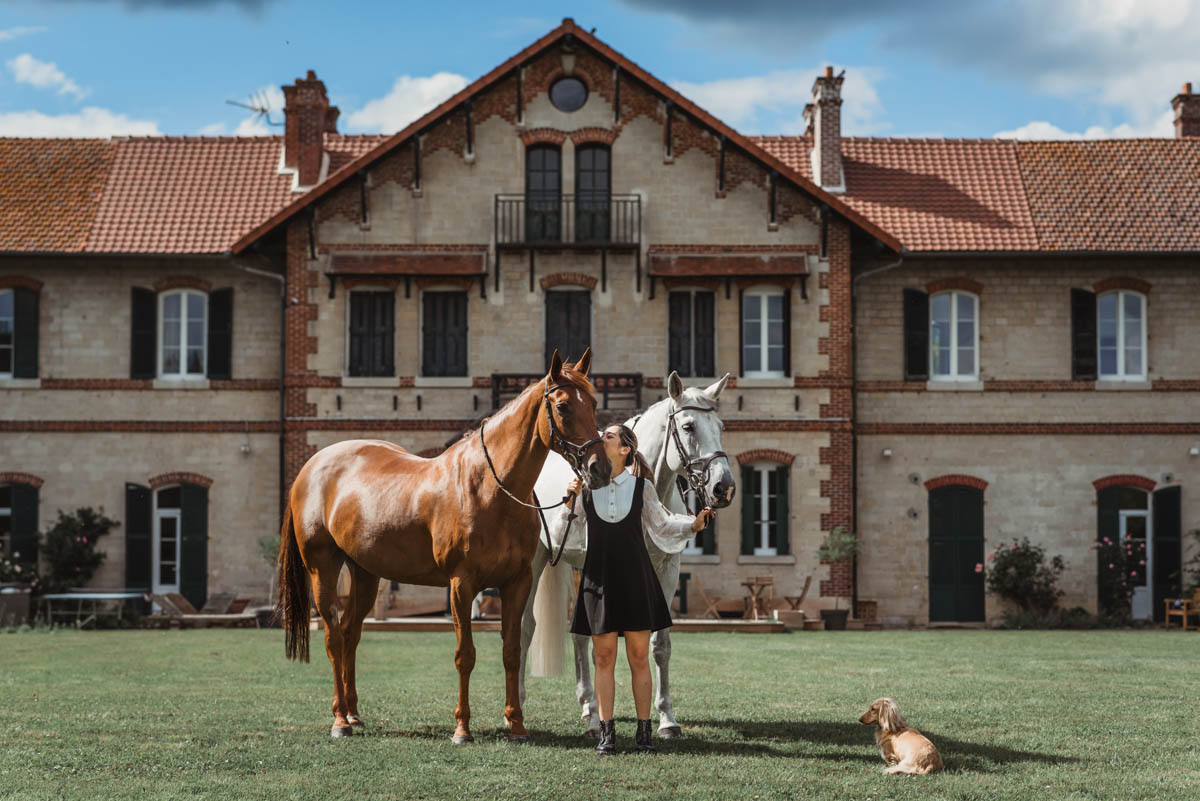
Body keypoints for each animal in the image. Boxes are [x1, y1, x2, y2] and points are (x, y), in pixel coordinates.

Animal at [274, 352, 604, 743]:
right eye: (564, 406)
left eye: (594, 403)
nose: (599, 468)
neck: (490, 488)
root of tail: (311, 467)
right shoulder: (461, 585)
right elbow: (465, 654)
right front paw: (462, 728)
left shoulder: (517, 582)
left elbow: (511, 651)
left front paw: (517, 726)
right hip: (322, 570)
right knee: (334, 638)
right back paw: (340, 720)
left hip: (366, 574)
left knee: (351, 634)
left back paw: (354, 715)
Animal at [520, 374, 734, 738]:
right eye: (688, 426)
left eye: (720, 426)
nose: (723, 487)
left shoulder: (666, 571)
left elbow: (659, 644)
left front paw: (666, 719)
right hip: (533, 565)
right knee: (524, 628)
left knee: (578, 638)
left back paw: (588, 707)